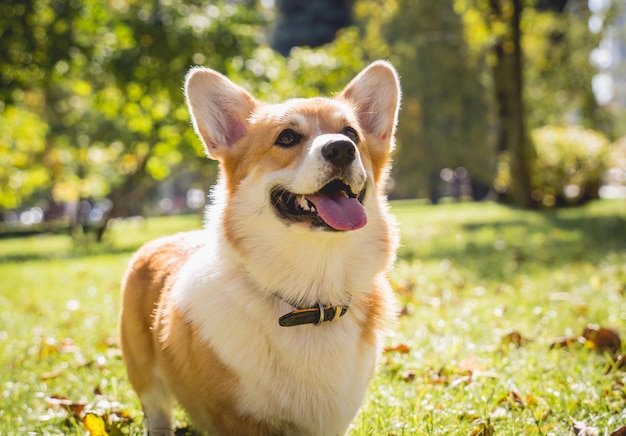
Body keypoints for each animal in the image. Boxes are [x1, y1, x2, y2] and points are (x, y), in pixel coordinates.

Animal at [119, 59, 400, 434]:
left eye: (352, 133)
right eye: (287, 137)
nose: (341, 148)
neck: (311, 299)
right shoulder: (239, 421)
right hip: (145, 377)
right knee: (158, 411)